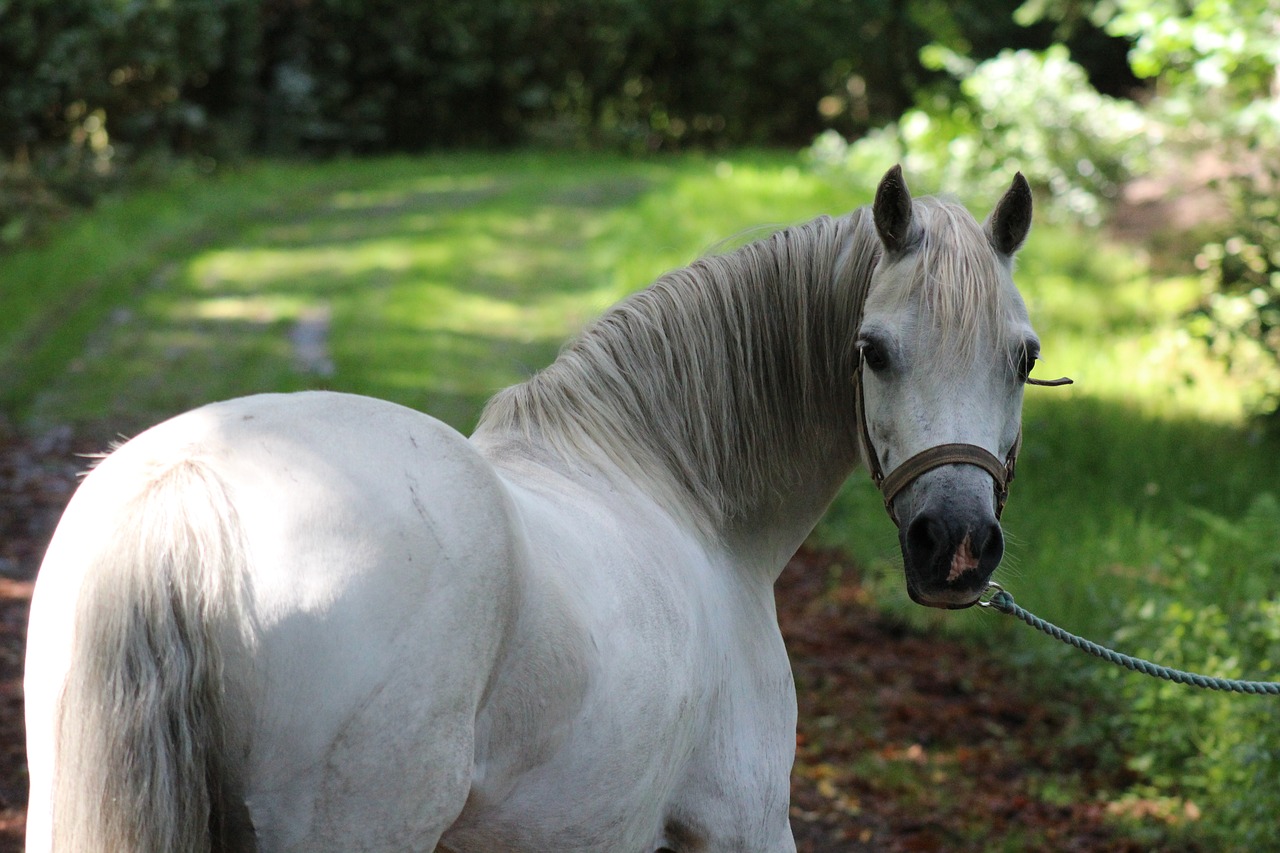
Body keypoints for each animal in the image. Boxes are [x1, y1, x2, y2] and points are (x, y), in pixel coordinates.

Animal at [24, 162, 1049, 845]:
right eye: (872, 349)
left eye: (1024, 355)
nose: (955, 544)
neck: (684, 495)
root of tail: (187, 490)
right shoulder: (743, 822)